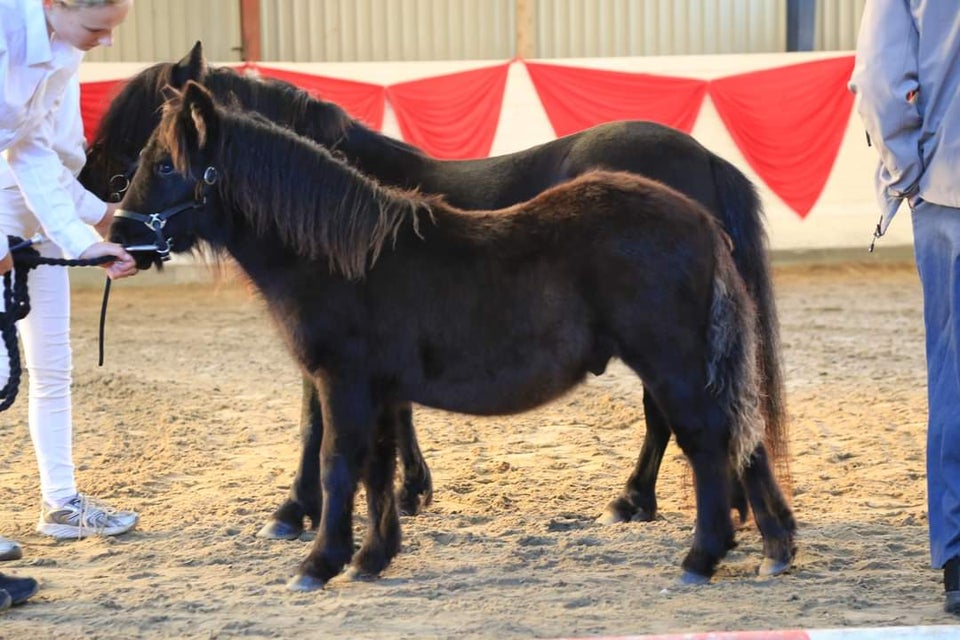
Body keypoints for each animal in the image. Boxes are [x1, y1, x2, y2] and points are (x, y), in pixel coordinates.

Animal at [80, 40, 788, 540]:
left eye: (146, 142)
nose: (113, 226)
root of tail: (704, 159)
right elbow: (395, 407)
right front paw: (410, 488)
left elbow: (317, 420)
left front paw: (297, 509)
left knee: (665, 412)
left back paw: (639, 499)